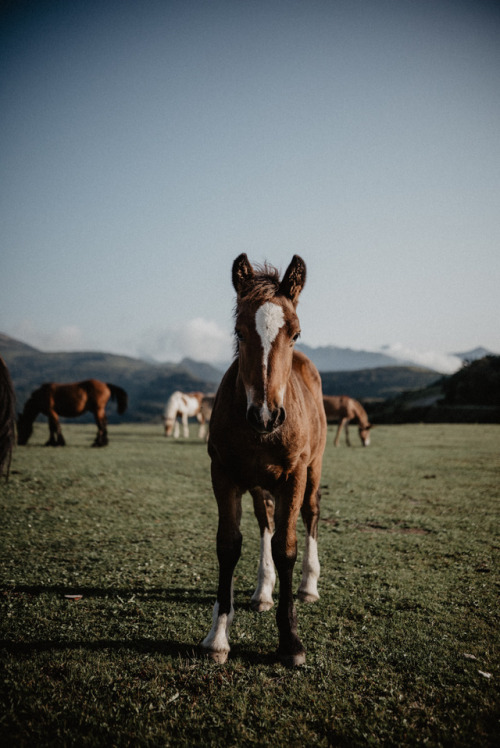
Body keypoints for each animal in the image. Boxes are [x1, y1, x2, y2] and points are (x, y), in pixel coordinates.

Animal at [201, 253, 326, 668]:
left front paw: (291, 642)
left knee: (311, 513)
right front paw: (218, 636)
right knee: (265, 521)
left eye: (296, 333)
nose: (266, 416)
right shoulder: (223, 473)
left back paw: (308, 585)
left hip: (314, 467)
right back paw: (262, 591)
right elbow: (229, 544)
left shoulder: (294, 475)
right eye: (239, 332)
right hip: (257, 483)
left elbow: (286, 547)